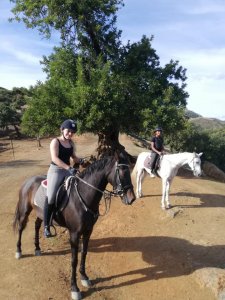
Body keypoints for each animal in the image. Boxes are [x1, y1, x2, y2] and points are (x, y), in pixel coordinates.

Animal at [13, 152, 135, 300]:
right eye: (122, 171)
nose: (132, 198)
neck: (82, 196)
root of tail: (28, 181)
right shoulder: (74, 234)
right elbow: (74, 260)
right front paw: (75, 288)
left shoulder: (88, 231)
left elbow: (84, 254)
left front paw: (84, 277)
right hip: (25, 211)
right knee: (21, 227)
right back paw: (18, 251)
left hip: (40, 213)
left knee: (37, 225)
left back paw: (37, 248)